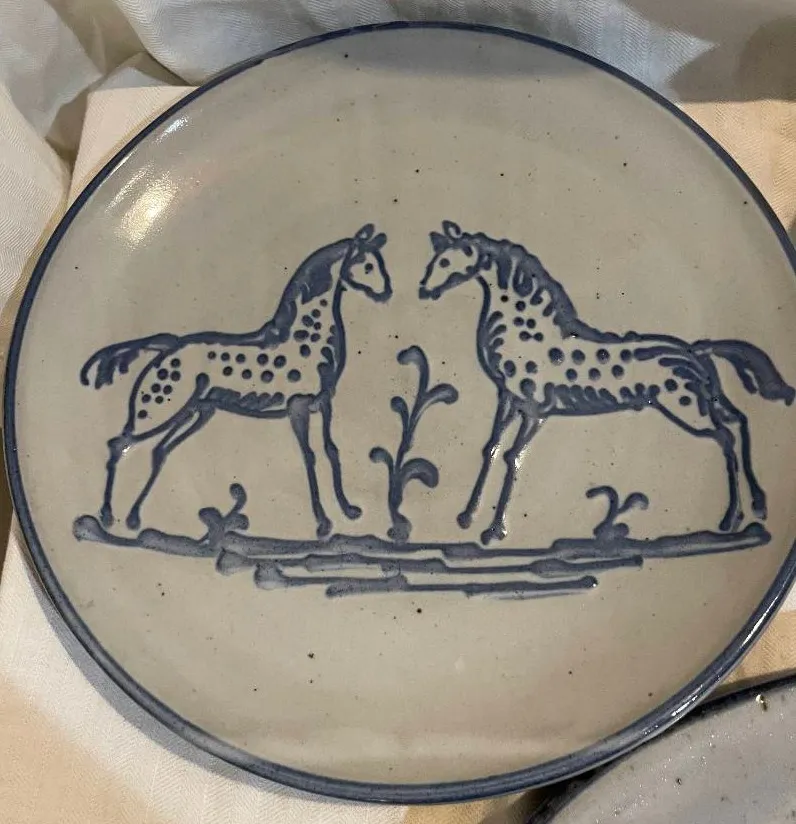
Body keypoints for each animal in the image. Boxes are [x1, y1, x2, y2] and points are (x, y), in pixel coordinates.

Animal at [81, 223, 392, 536]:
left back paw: (133, 518)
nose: (386, 292)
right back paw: (106, 517)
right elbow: (310, 456)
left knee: (159, 450)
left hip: (197, 412)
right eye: (366, 265)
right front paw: (323, 523)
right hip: (158, 407)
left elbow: (331, 451)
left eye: (379, 261)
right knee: (119, 444)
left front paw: (349, 510)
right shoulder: (298, 407)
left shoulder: (324, 403)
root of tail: (169, 345)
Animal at [419, 220, 794, 545]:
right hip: (708, 399)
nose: (424, 289)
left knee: (726, 437)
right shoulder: (508, 399)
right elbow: (492, 449)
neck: (524, 333)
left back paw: (732, 518)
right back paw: (756, 506)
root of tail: (695, 349)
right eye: (435, 258)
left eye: (447, 260)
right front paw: (467, 516)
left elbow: (513, 456)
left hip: (688, 408)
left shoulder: (537, 410)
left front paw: (494, 530)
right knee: (739, 422)